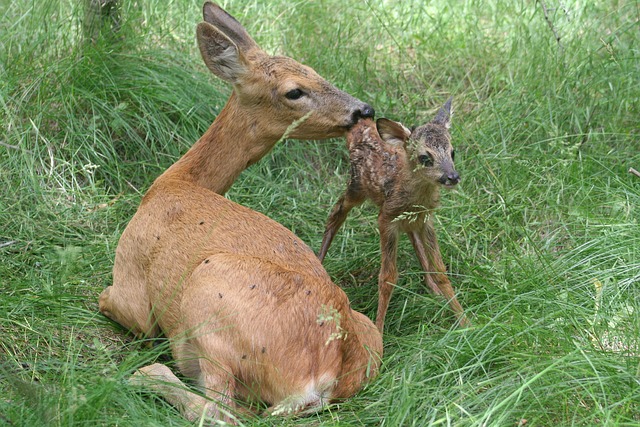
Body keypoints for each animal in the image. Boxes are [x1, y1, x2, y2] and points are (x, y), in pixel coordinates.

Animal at [99, 1, 380, 424]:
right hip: (367, 330)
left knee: (219, 409)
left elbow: (109, 300)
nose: (363, 110)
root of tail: (327, 374)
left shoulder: (131, 281)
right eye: (298, 86)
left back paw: (148, 374)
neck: (173, 183)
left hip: (208, 293)